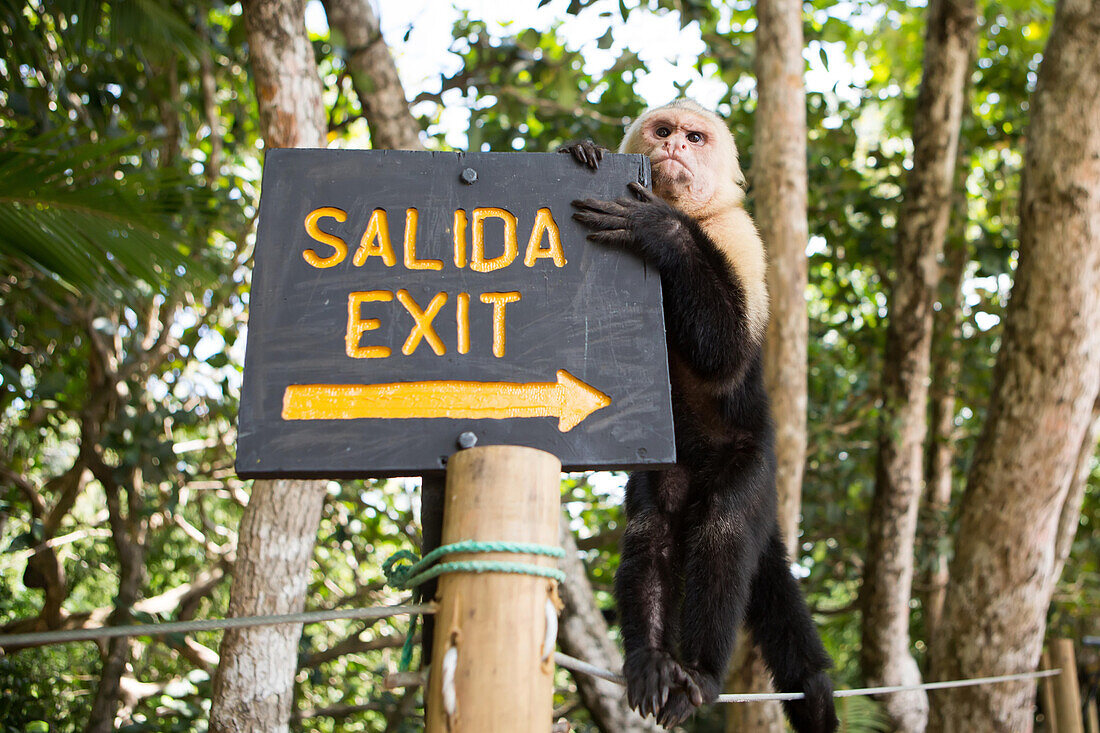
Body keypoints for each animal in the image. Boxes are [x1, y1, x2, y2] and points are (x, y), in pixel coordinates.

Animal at [563, 98, 836, 730]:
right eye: (663, 131)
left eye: (694, 137)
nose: (673, 147)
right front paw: (584, 149)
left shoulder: (740, 234)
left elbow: (727, 355)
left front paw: (661, 229)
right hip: (672, 467)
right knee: (653, 529)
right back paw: (652, 661)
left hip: (754, 458)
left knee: (726, 533)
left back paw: (701, 673)